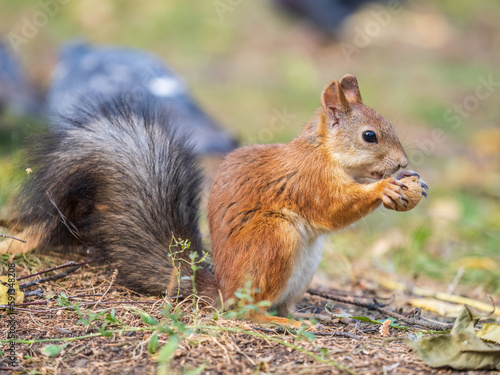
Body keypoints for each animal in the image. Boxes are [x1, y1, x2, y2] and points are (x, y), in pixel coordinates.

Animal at [1, 75, 428, 328]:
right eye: (370, 136)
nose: (402, 163)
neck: (323, 152)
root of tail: (223, 289)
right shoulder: (307, 181)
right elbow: (332, 208)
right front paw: (385, 188)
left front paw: (408, 182)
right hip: (273, 239)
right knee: (249, 313)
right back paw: (282, 323)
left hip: (302, 268)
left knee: (278, 304)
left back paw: (310, 318)